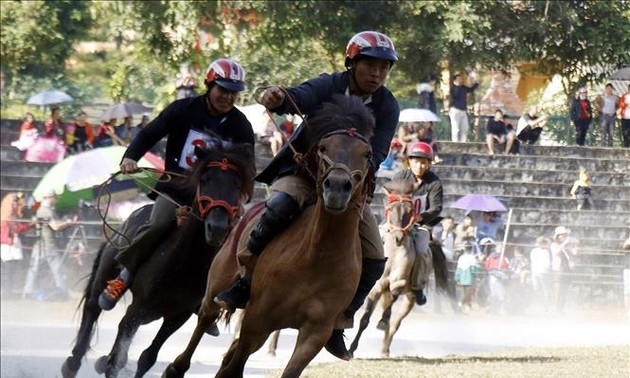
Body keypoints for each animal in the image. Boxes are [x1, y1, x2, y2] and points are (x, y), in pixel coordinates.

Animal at [60, 142, 256, 378]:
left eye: (237, 185)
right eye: (205, 179)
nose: (217, 227)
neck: (182, 264)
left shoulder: (177, 317)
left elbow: (147, 358)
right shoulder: (136, 311)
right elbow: (117, 360)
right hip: (106, 275)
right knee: (92, 308)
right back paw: (73, 363)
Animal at [348, 177, 452, 358]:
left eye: (410, 210)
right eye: (390, 209)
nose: (398, 237)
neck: (394, 253)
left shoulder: (399, 282)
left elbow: (392, 303)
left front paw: (382, 322)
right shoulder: (378, 287)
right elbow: (365, 319)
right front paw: (351, 349)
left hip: (410, 299)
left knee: (396, 323)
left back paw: (385, 349)